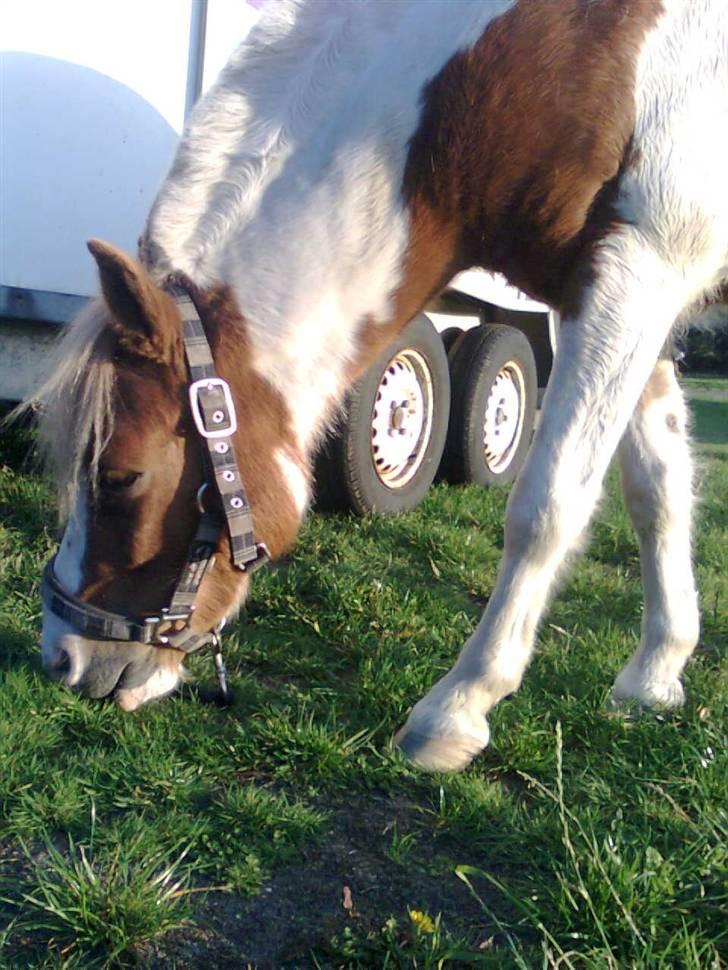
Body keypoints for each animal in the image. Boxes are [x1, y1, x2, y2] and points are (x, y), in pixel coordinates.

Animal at [34, 0, 728, 772]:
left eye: (119, 476)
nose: (62, 659)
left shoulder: (637, 274)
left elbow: (546, 508)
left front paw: (456, 710)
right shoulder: (613, 297)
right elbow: (657, 494)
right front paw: (655, 675)